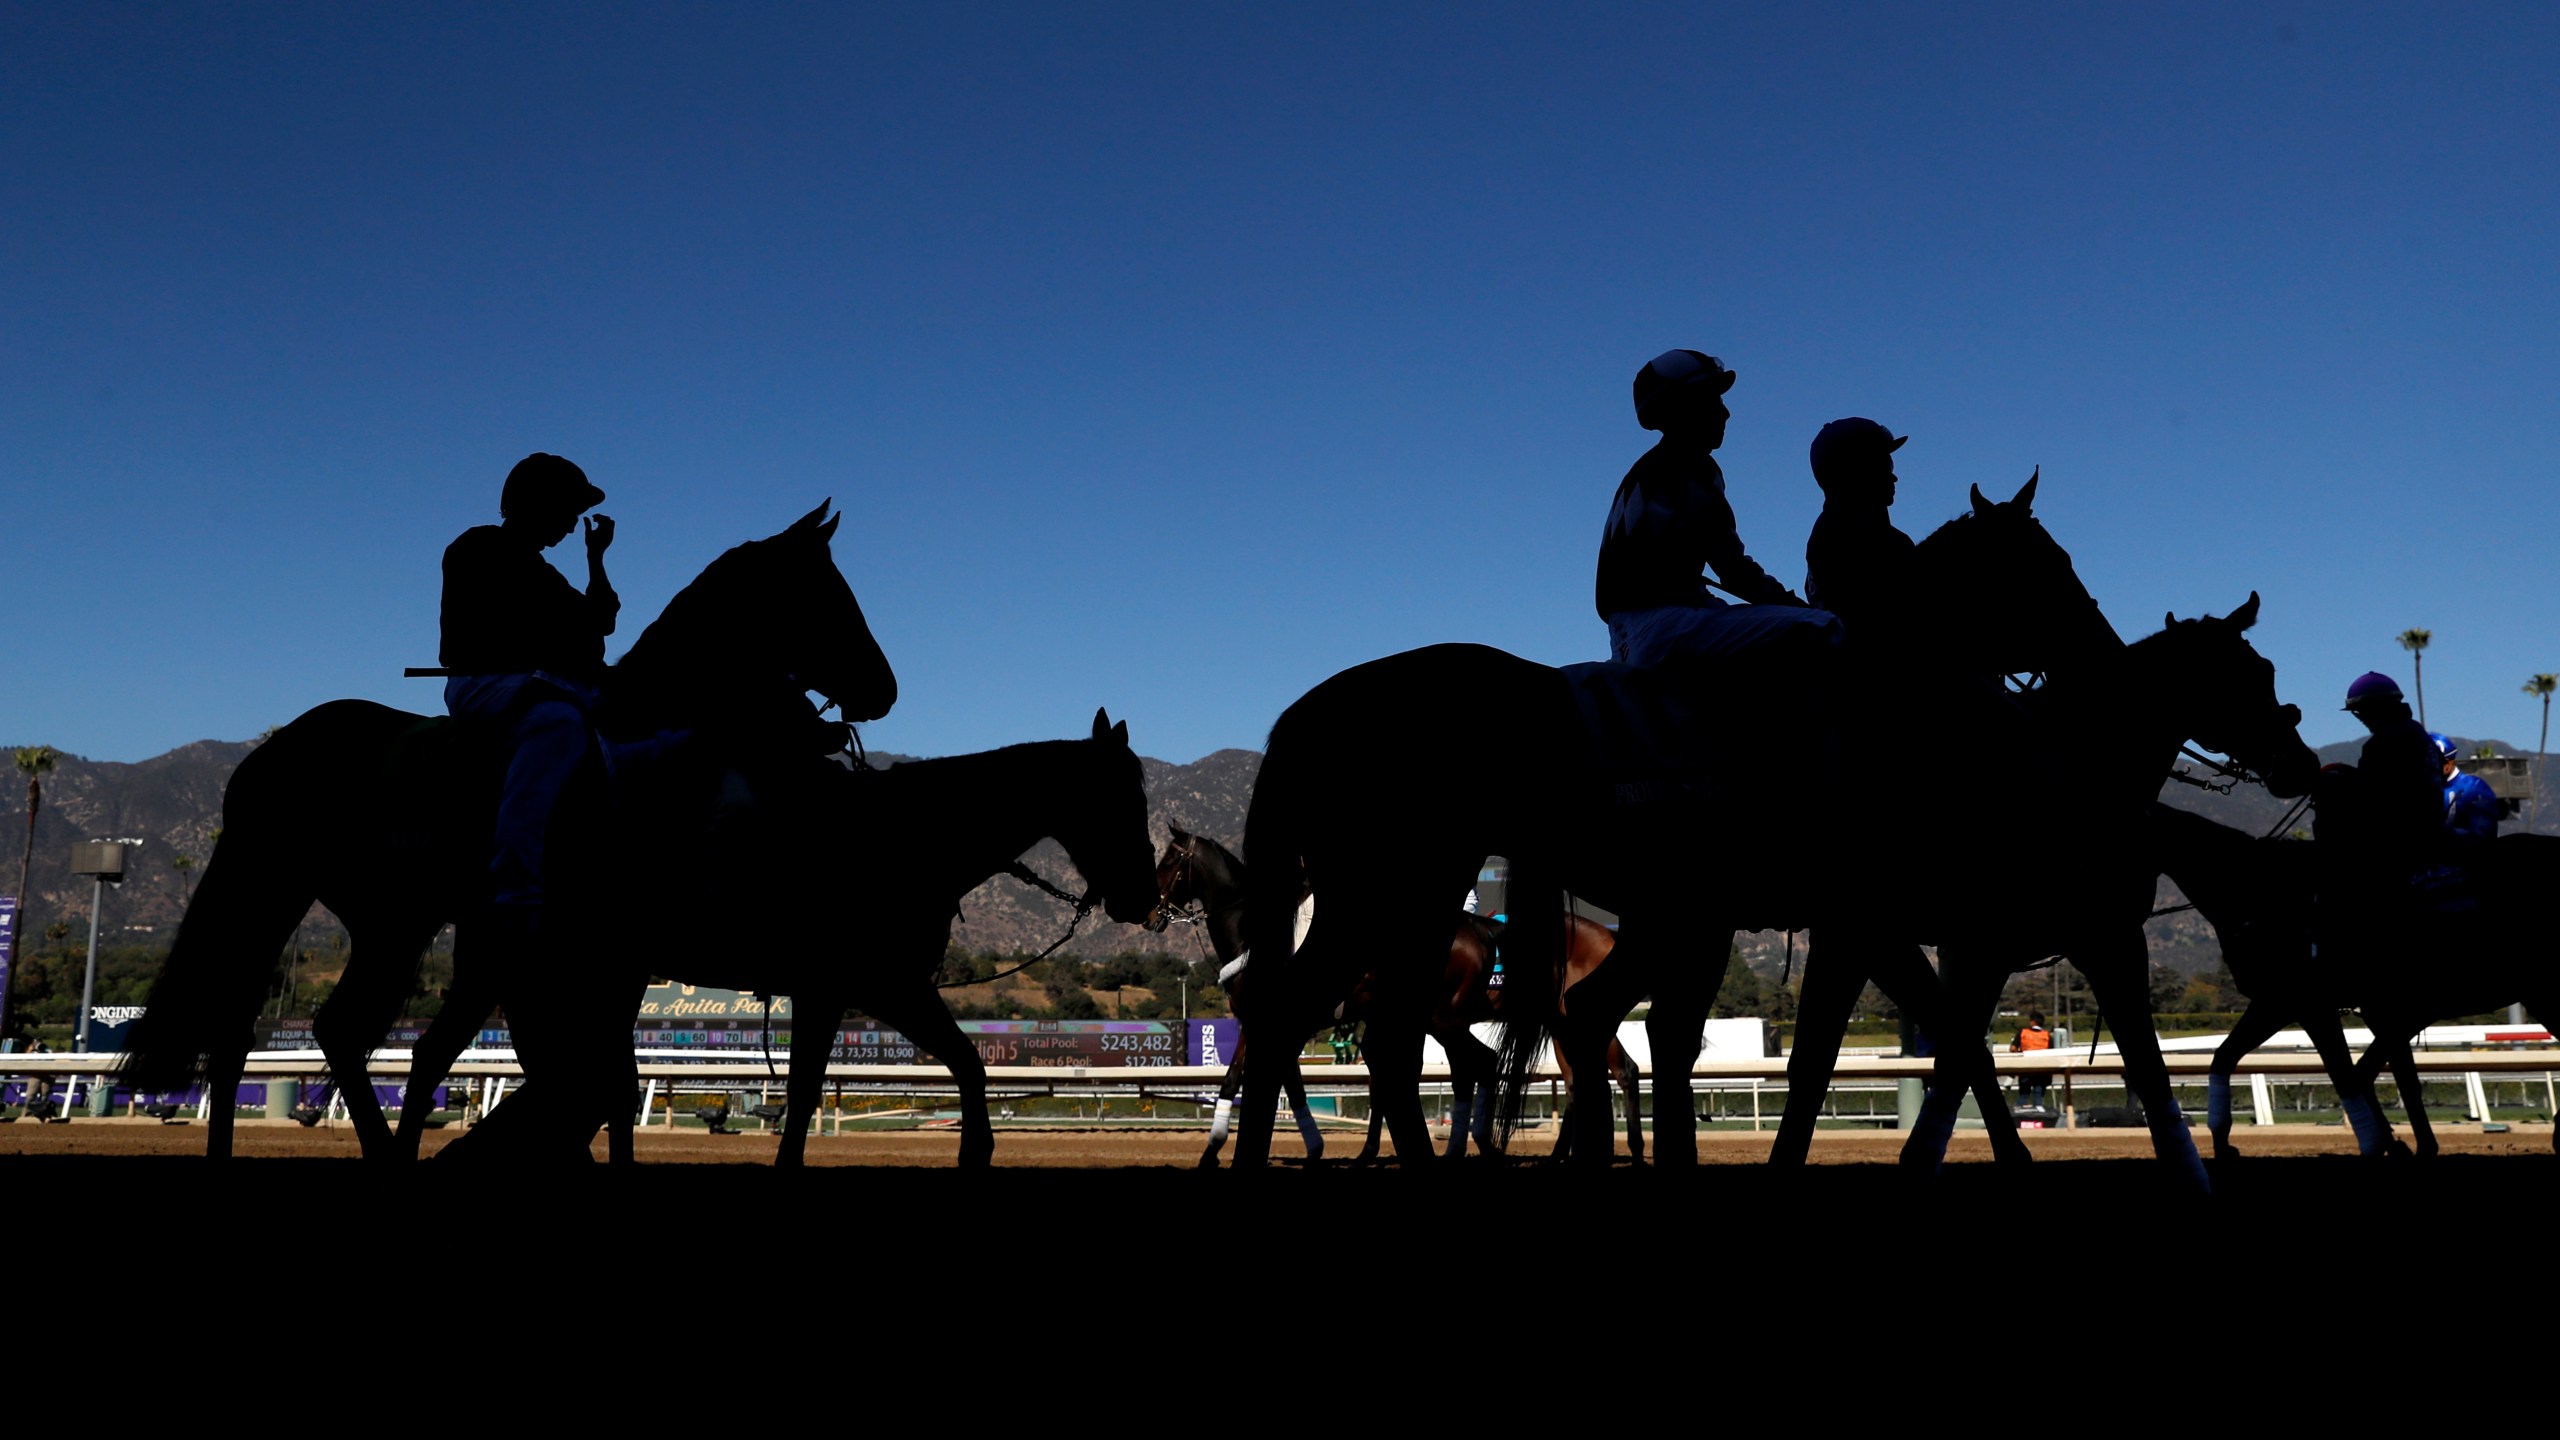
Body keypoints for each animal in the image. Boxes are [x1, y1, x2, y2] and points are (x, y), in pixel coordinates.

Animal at [122, 504, 901, 1153]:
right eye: (830, 595)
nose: (884, 689)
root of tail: (270, 753)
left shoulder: (597, 953)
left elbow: (590, 1079)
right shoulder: (585, 951)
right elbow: (588, 1079)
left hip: (378, 915)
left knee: (287, 1032)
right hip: (311, 898)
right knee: (287, 1030)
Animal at [394, 707, 1157, 1168]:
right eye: (1125, 797)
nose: (1147, 897)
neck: (907, 838)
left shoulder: (858, 991)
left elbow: (934, 1070)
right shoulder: (871, 986)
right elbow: (860, 1083)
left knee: (565, 1077)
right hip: (513, 963)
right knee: (450, 1060)